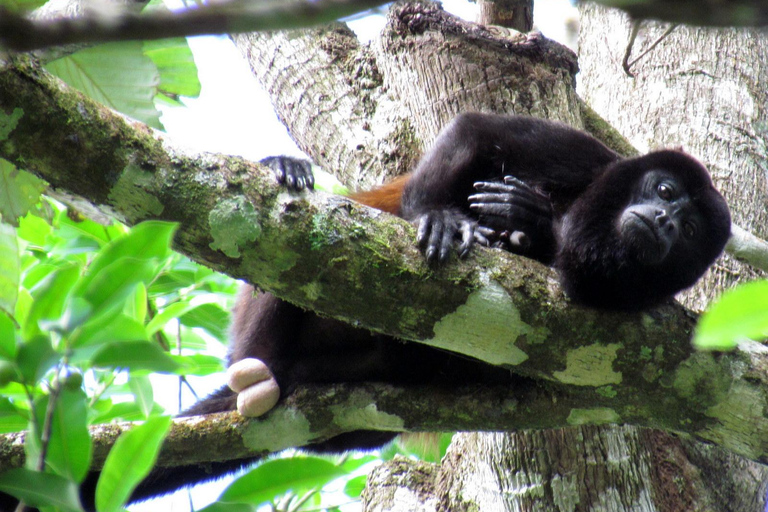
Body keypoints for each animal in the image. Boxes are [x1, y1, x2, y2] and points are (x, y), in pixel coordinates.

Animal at [70, 112, 732, 508]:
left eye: (689, 231)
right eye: (664, 191)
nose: (665, 220)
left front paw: (532, 225)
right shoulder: (585, 155)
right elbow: (479, 131)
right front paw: (443, 216)